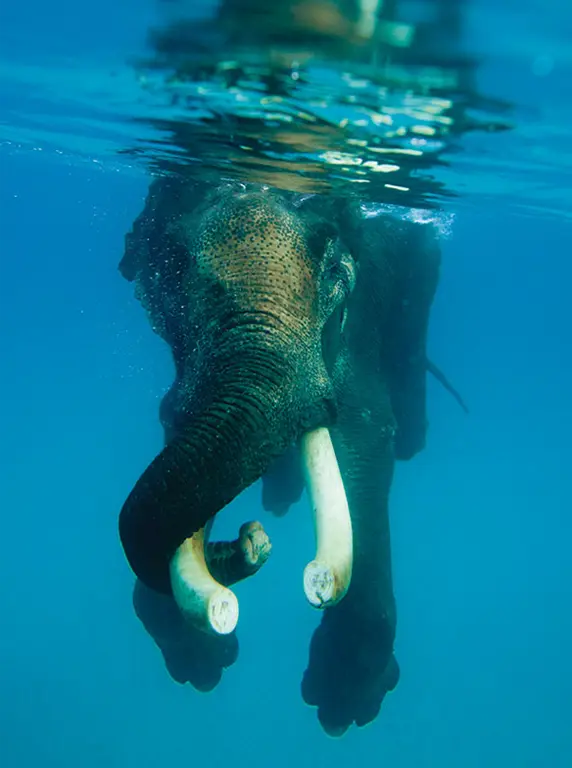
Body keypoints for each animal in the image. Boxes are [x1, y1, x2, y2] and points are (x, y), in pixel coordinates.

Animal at [117, 176, 453, 736]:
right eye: (176, 264)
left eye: (333, 265)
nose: (248, 540)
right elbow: (177, 415)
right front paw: (196, 657)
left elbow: (364, 433)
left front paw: (345, 693)